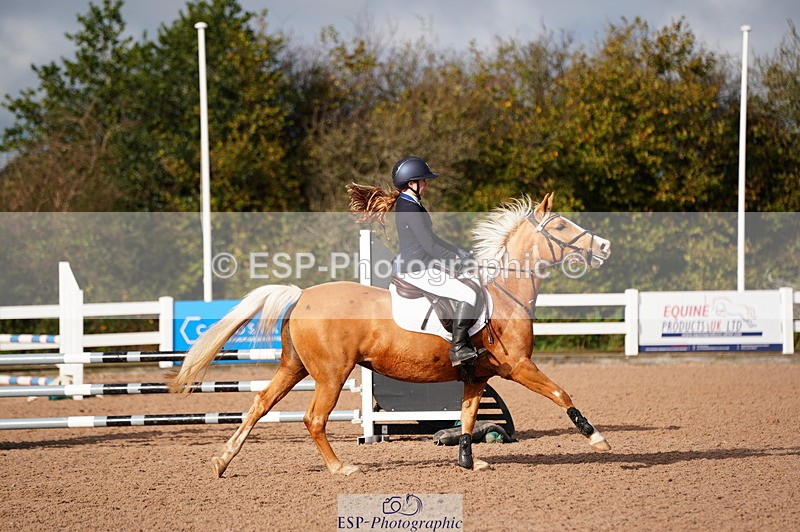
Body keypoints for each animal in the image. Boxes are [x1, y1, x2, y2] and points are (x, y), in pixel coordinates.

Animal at [169, 192, 612, 476]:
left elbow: (468, 417)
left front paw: (469, 460)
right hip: (331, 374)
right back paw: (340, 467)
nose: (605, 246)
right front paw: (597, 440)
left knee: (260, 405)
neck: (506, 295)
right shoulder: (519, 366)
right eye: (560, 224)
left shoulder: (478, 376)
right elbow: (561, 394)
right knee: (314, 418)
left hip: (295, 368)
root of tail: (301, 295)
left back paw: (222, 462)